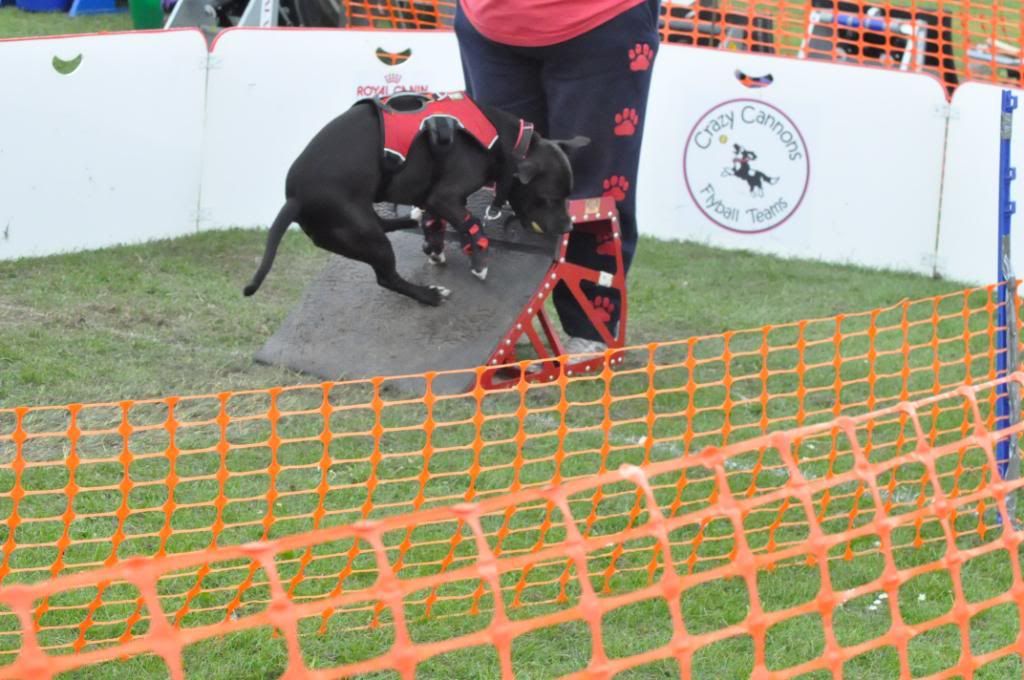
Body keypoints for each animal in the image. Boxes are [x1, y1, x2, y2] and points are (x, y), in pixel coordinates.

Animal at [242, 92, 589, 305]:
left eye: (568, 195)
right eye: (548, 198)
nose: (569, 227)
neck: (508, 142)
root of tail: (294, 198)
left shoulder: (432, 199)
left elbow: (438, 226)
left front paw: (435, 247)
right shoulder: (444, 197)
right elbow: (473, 224)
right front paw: (478, 261)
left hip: (360, 221)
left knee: (383, 224)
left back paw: (411, 217)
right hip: (365, 235)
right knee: (387, 277)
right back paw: (430, 295)